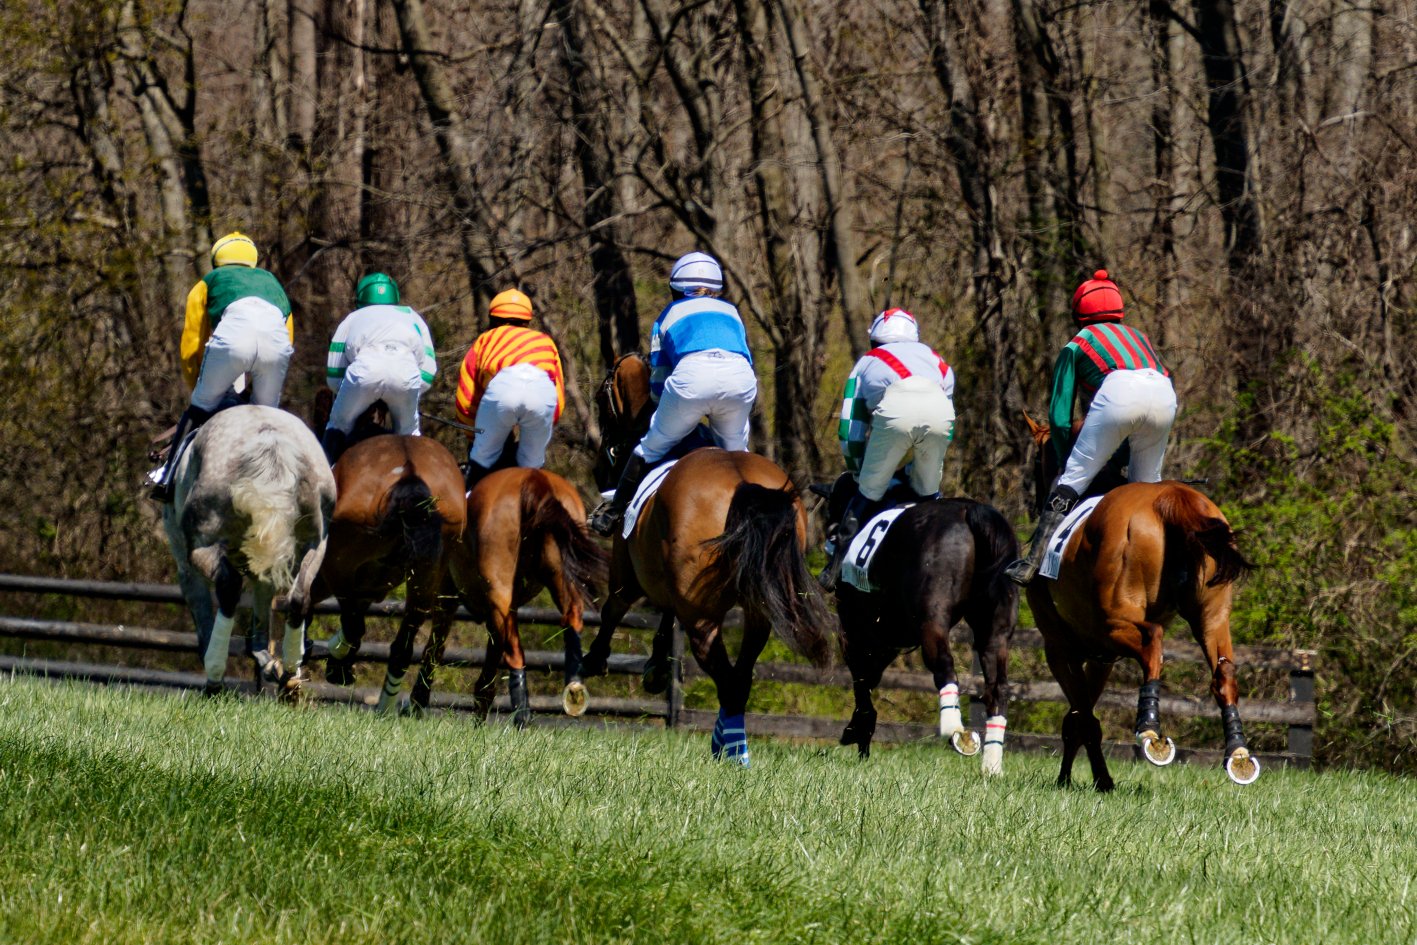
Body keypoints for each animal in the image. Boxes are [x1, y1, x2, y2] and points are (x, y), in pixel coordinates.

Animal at [162, 405, 335, 697]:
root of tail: (271, 440)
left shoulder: (186, 569)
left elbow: (204, 619)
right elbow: (261, 624)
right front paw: (269, 663)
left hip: (201, 546)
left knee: (229, 588)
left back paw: (215, 678)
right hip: (315, 543)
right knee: (299, 597)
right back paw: (290, 674)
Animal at [312, 434, 469, 714]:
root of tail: (409, 474)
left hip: (338, 566)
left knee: (352, 622)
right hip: (425, 576)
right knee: (403, 646)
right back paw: (390, 706)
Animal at [581, 353, 832, 765]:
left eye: (602, 402)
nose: (600, 470)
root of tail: (743, 482)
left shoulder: (627, 573)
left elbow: (613, 609)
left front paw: (594, 659)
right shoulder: (673, 585)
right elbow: (665, 617)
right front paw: (655, 667)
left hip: (702, 618)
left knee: (727, 680)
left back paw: (731, 751)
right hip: (758, 612)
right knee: (740, 679)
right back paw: (728, 745)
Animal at [815, 474, 1019, 772]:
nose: (829, 535)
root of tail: (971, 513)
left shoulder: (857, 630)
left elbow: (862, 678)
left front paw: (858, 729)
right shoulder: (887, 638)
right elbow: (869, 676)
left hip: (931, 622)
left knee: (945, 665)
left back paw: (955, 731)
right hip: (994, 631)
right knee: (998, 689)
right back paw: (991, 764)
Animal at [1019, 413, 1259, 789]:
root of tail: (1172, 497)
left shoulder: (1058, 649)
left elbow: (1081, 718)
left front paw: (1086, 780)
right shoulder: (1101, 657)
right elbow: (1080, 717)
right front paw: (1090, 779)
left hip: (1116, 624)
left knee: (1153, 642)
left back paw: (1151, 732)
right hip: (1212, 618)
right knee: (1224, 672)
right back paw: (1237, 752)